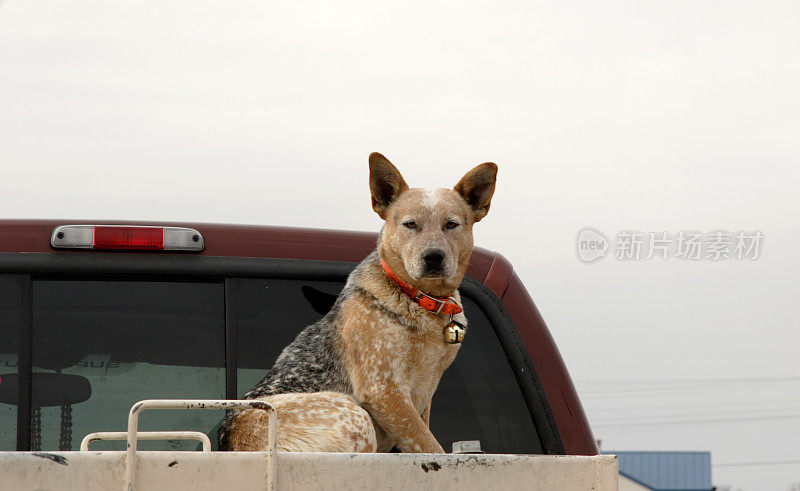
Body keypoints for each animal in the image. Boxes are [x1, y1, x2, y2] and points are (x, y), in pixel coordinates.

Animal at [216, 153, 496, 454]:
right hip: (354, 417)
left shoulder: (424, 392)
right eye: (410, 224)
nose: (433, 256)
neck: (419, 299)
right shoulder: (383, 389)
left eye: (451, 224)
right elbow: (431, 447)